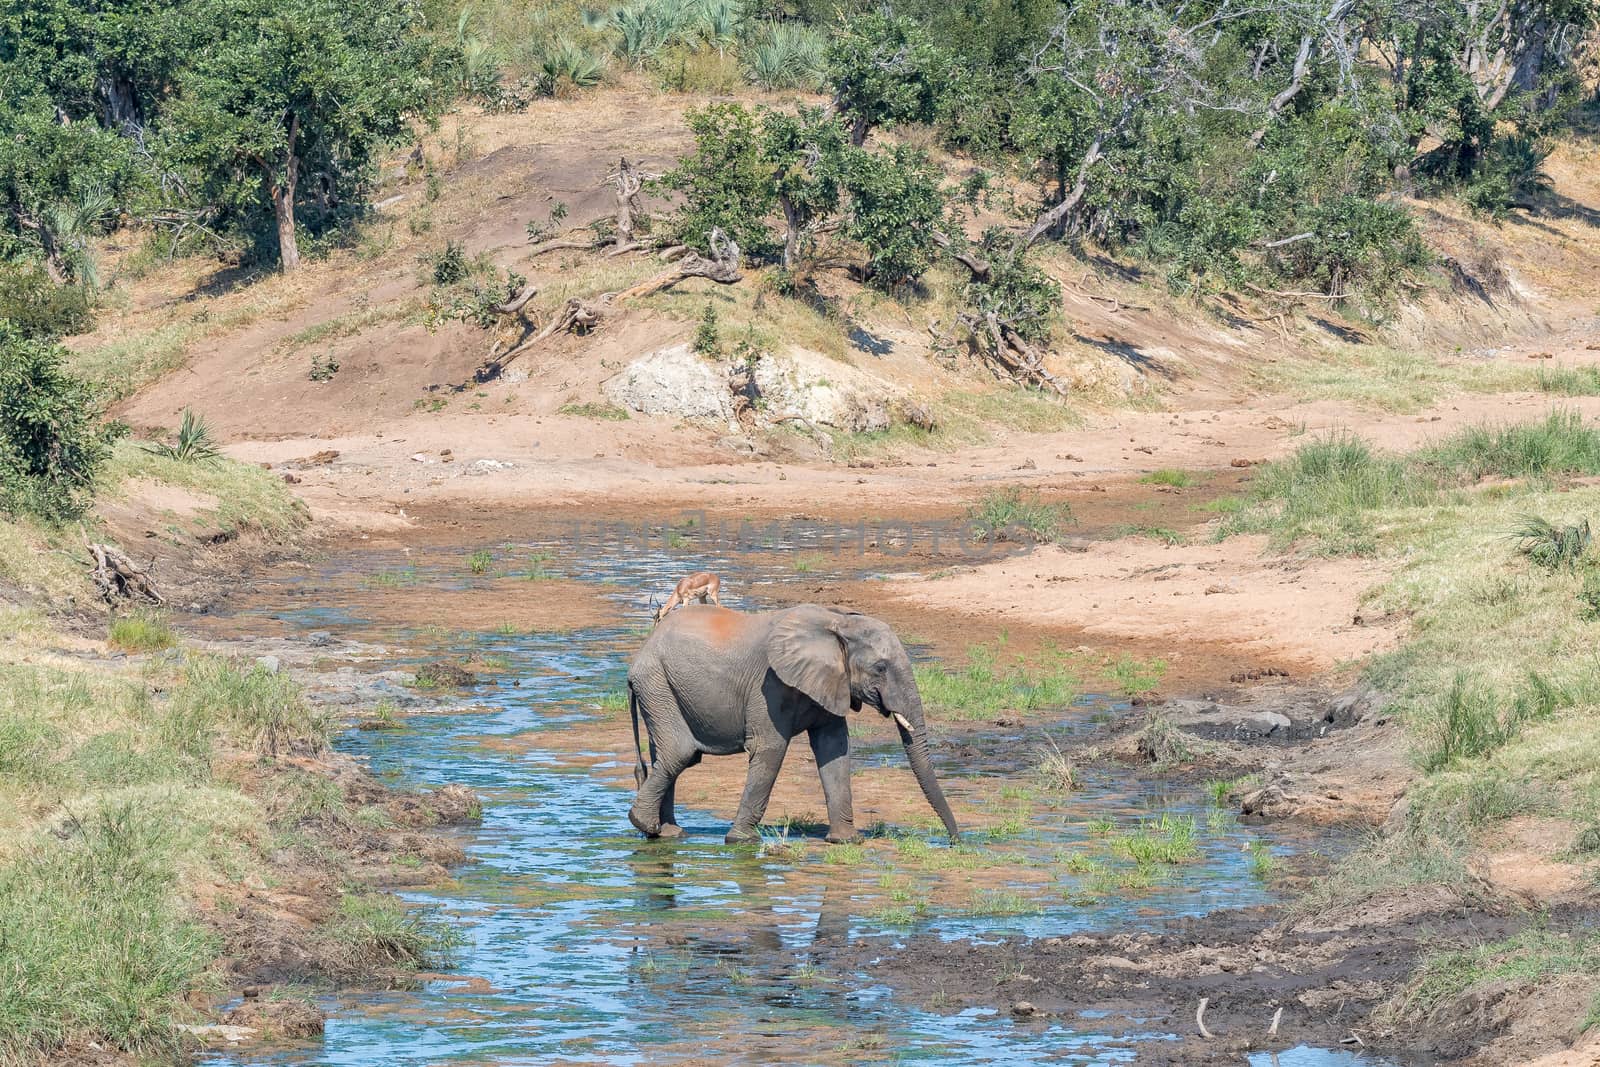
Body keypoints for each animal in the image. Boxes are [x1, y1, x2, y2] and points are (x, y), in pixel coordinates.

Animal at [620, 607, 947, 844]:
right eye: (880, 668)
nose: (954, 840)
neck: (838, 622)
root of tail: (642, 651)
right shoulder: (769, 686)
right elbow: (770, 749)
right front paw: (742, 842)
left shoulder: (829, 684)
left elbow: (835, 749)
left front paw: (846, 842)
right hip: (657, 683)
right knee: (680, 752)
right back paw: (647, 825)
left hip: (662, 688)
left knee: (666, 756)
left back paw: (667, 833)